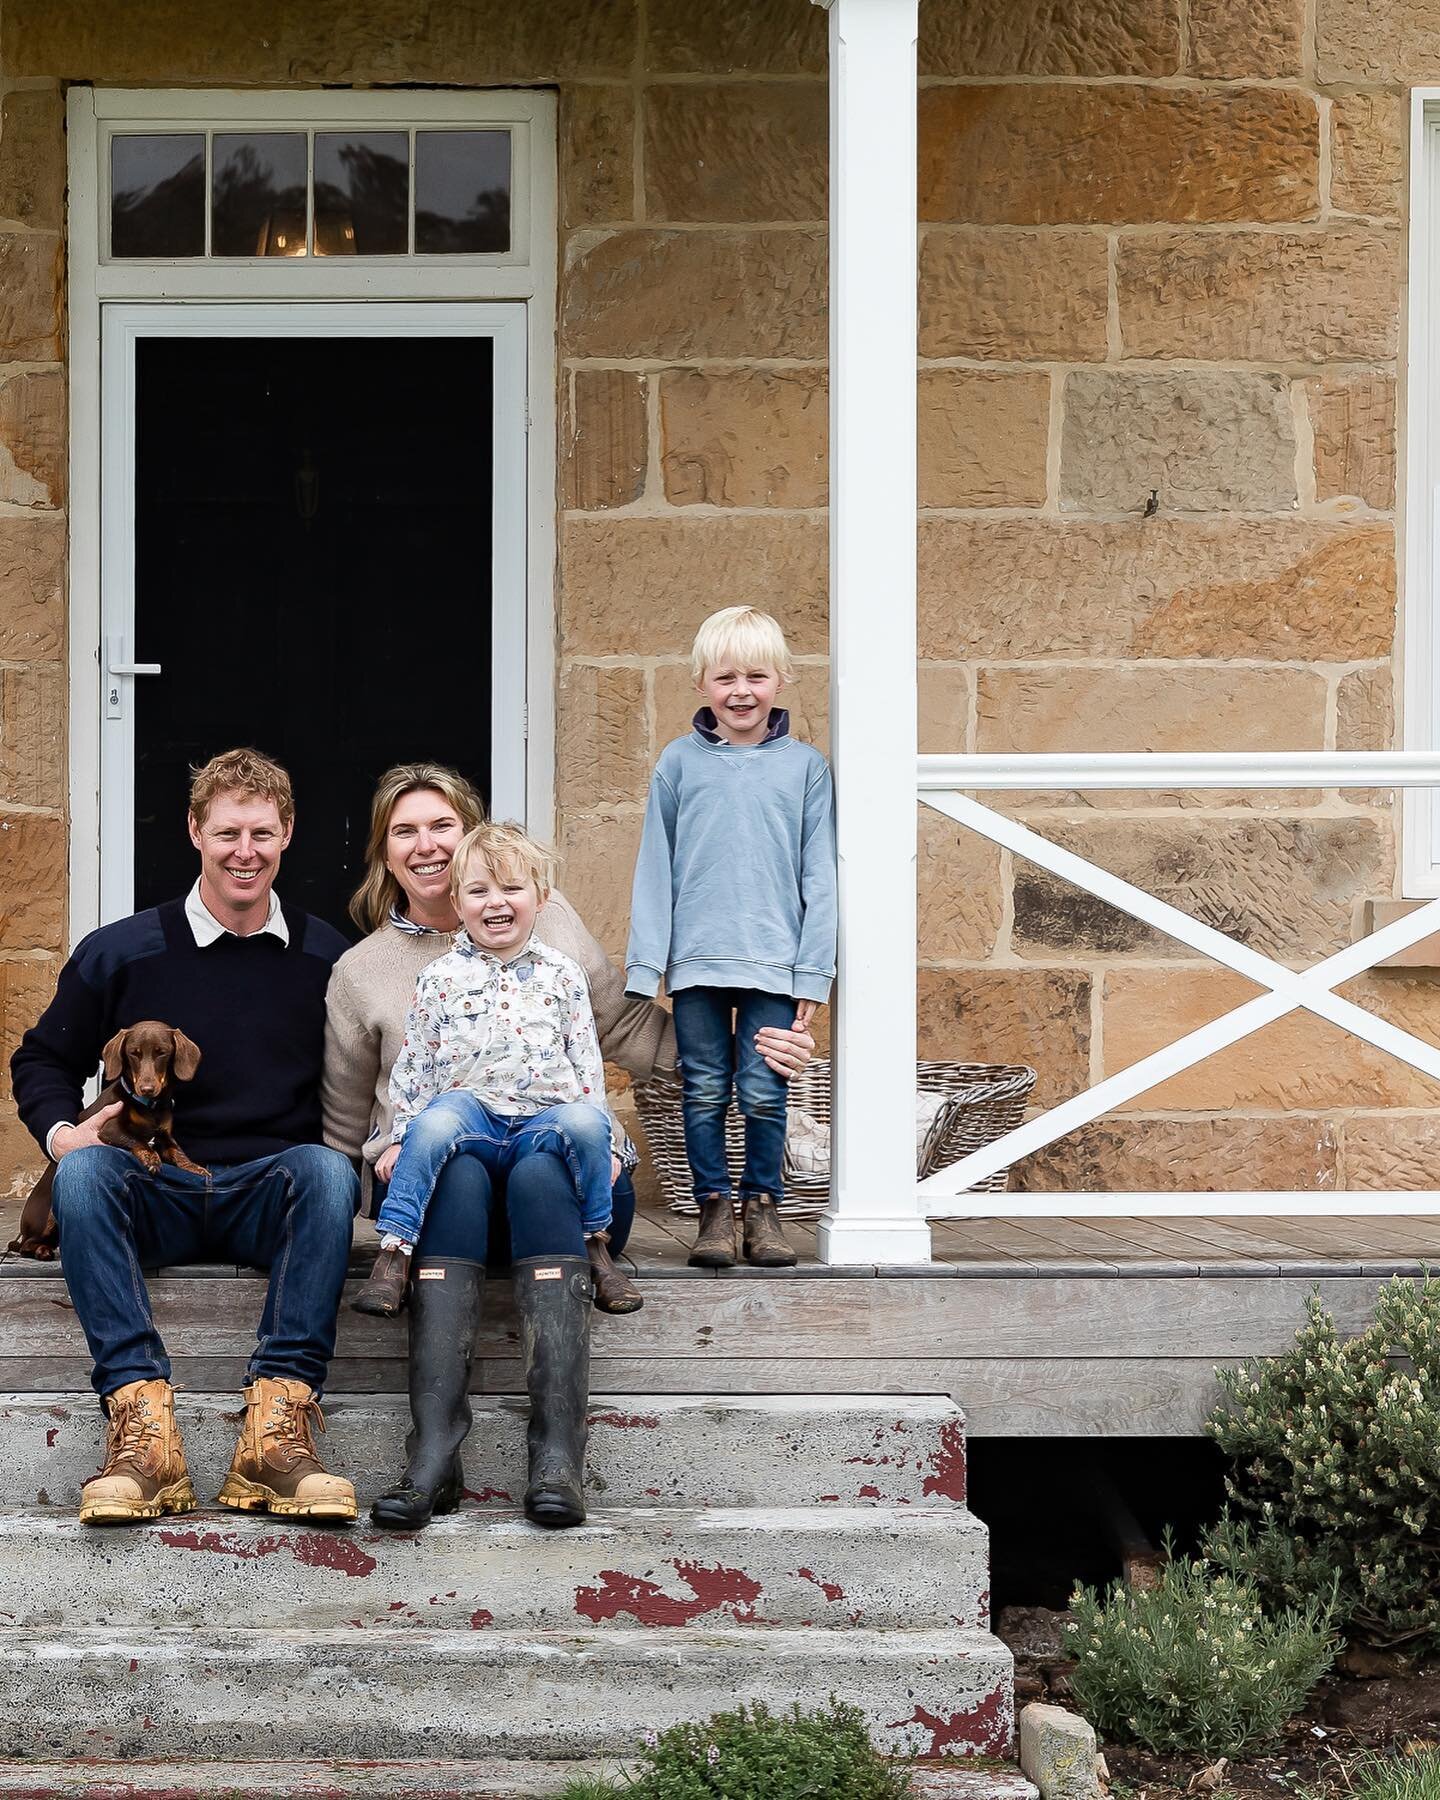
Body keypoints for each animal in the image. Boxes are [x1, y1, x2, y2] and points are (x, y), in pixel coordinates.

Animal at [10, 1022, 207, 1260]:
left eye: (162, 1053)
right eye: (133, 1053)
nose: (147, 1089)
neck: (148, 1107)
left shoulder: (164, 1137)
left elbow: (178, 1152)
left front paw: (196, 1168)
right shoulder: (108, 1128)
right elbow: (136, 1140)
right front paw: (151, 1159)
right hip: (46, 1216)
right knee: (26, 1245)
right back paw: (41, 1250)